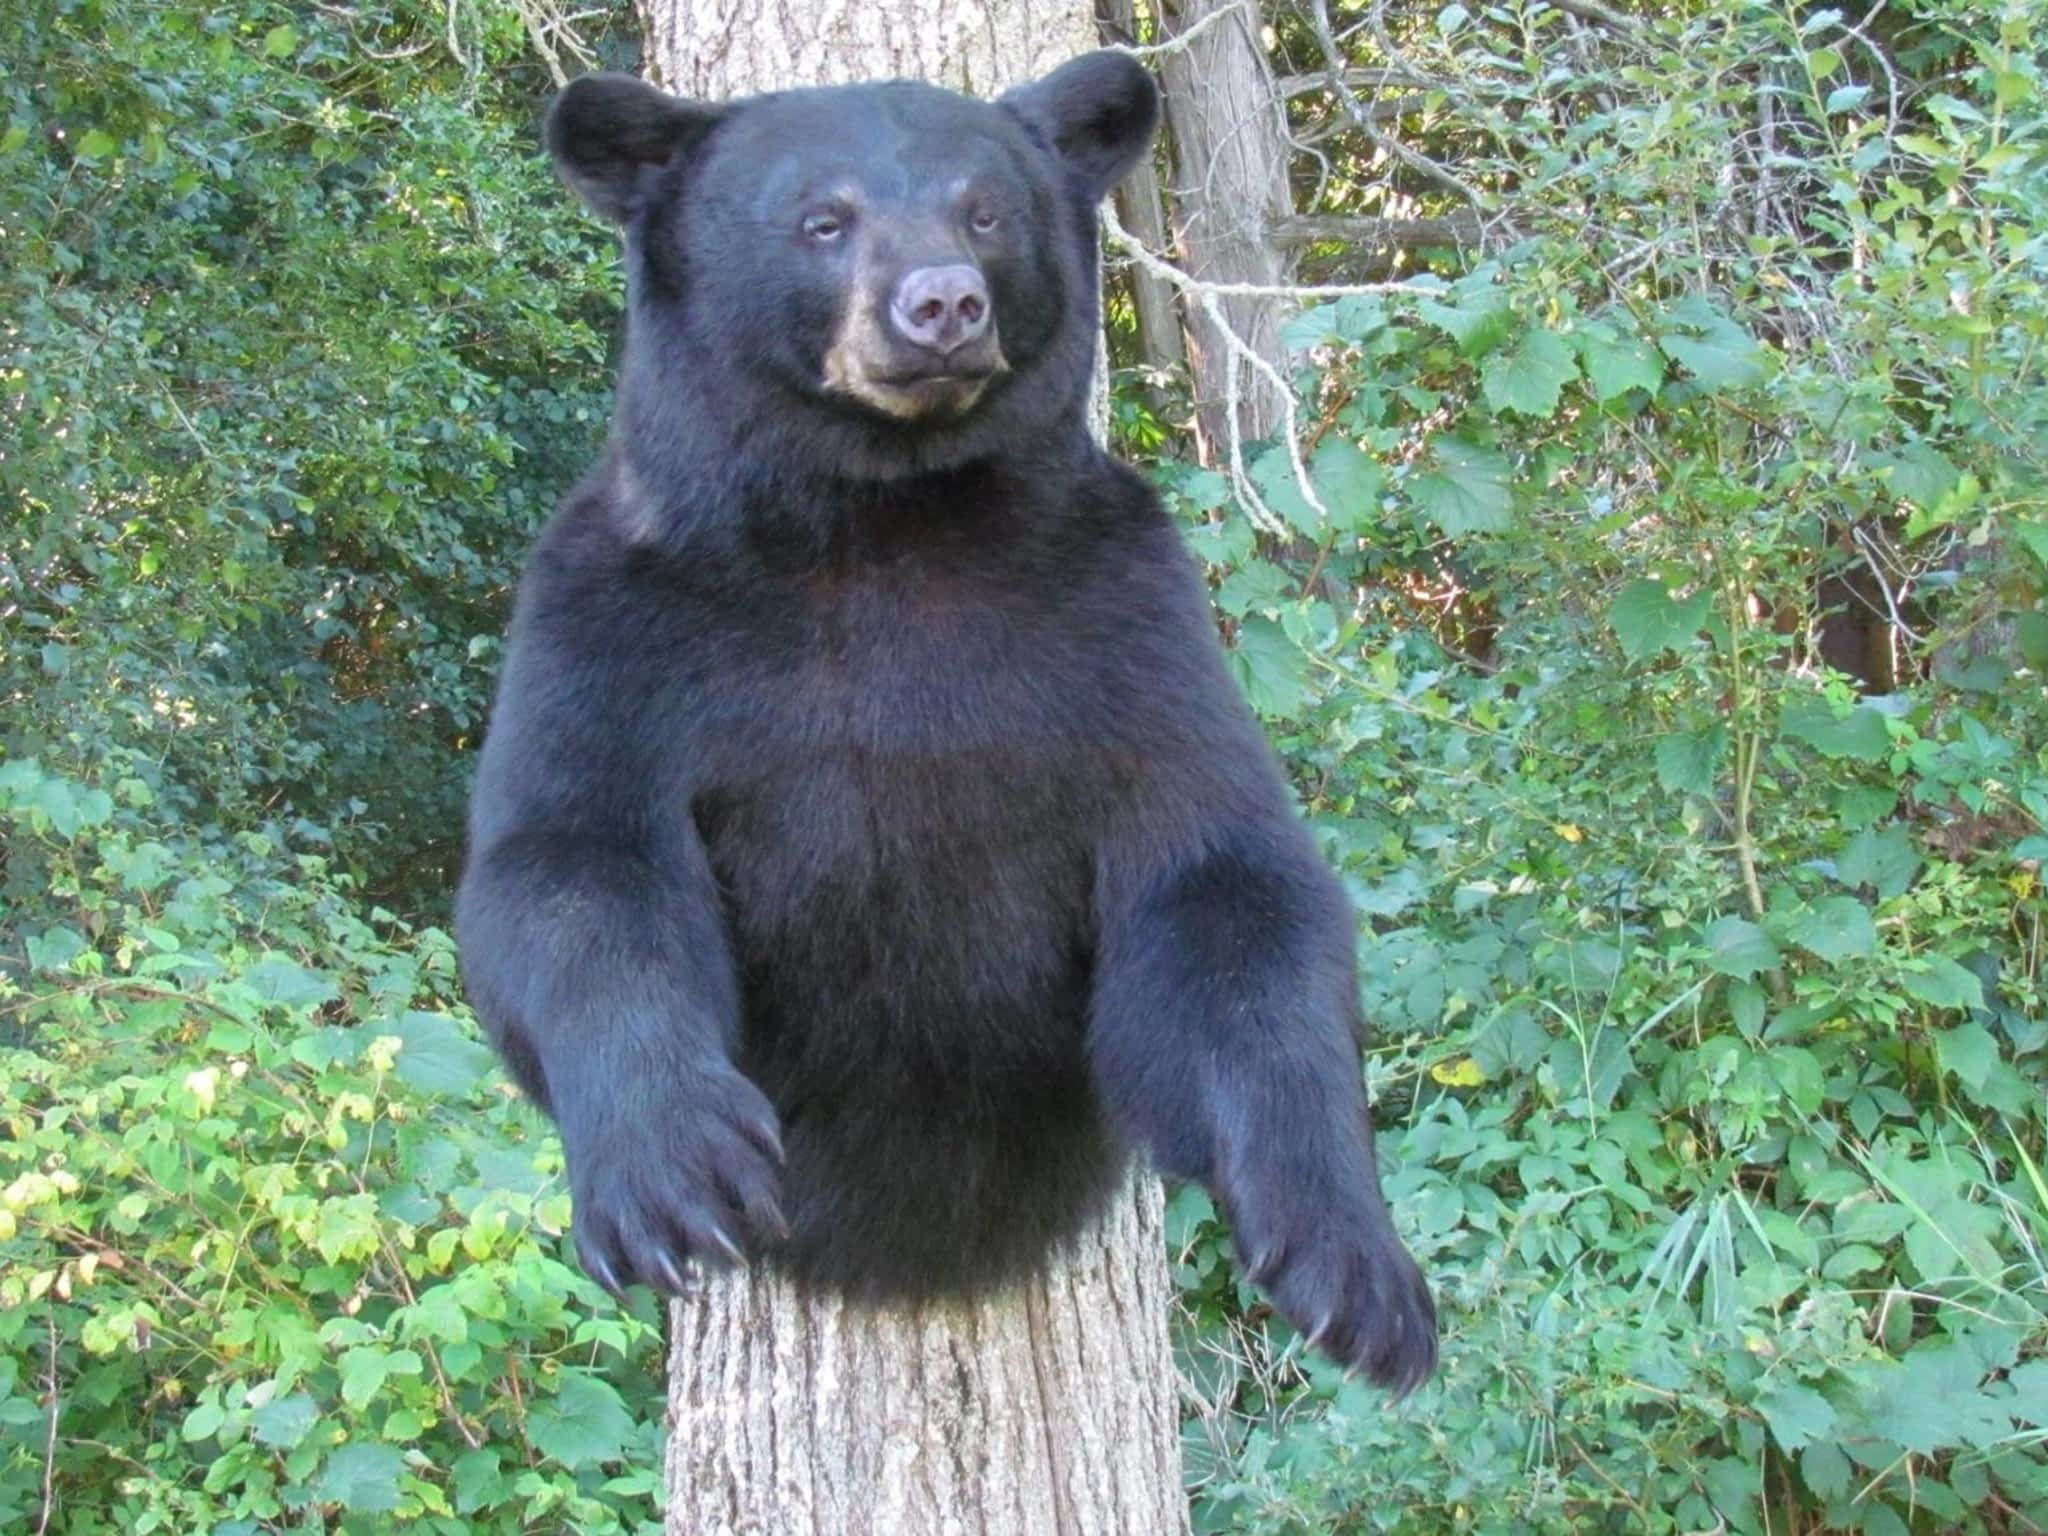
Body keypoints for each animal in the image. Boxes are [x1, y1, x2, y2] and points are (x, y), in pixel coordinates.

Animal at [454, 51, 1433, 1392]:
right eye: (822, 219)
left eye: (984, 212)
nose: (940, 306)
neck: (883, 520)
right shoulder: (616, 616)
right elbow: (566, 865)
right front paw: (669, 1171)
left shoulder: (1125, 615)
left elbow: (1223, 883)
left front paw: (1354, 1268)